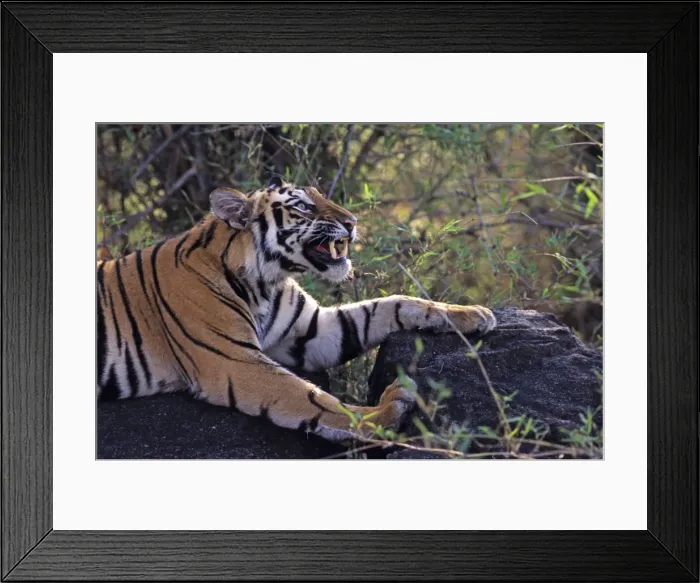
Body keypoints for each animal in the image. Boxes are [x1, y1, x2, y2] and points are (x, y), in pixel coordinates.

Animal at [96, 177, 497, 443]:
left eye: (323, 196)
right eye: (303, 205)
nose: (352, 222)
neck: (266, 283)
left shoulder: (313, 332)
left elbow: (392, 304)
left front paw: (472, 314)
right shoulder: (235, 362)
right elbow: (313, 399)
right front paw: (388, 410)